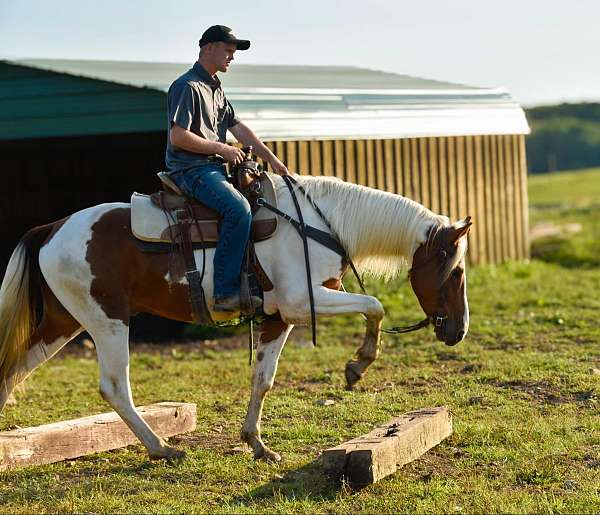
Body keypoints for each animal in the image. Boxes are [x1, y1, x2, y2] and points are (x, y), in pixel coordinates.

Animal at [0, 173, 472, 464]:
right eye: (457, 270)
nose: (459, 330)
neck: (320, 225)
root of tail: (52, 228)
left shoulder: (280, 317)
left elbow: (263, 379)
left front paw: (257, 444)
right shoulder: (303, 302)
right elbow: (374, 305)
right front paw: (357, 366)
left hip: (62, 324)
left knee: (11, 370)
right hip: (107, 322)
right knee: (114, 388)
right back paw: (161, 448)